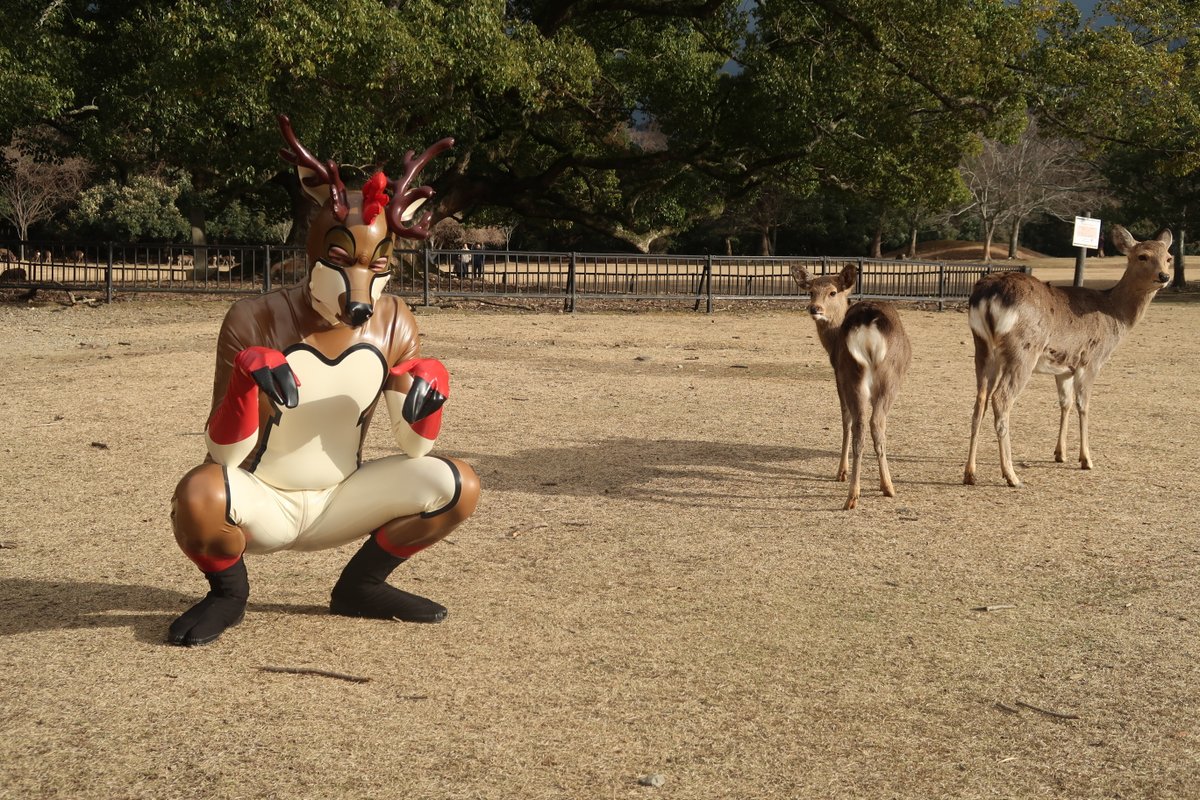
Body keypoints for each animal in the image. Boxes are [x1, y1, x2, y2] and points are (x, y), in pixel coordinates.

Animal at [791, 263, 913, 510]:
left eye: (832, 292)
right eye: (811, 291)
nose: (814, 308)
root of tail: (867, 326)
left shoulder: (838, 374)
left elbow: (844, 419)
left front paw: (841, 473)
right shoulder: (839, 375)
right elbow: (846, 420)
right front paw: (841, 472)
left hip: (854, 373)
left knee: (862, 424)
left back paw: (860, 492)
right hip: (882, 377)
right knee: (870, 423)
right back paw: (878, 488)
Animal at [963, 224, 1173, 487]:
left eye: (1168, 257)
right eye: (1142, 256)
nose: (1164, 276)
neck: (1115, 317)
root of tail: (990, 295)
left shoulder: (1063, 368)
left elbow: (1066, 403)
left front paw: (1060, 454)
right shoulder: (1091, 361)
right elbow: (1084, 405)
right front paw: (1086, 460)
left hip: (981, 347)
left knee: (979, 400)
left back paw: (970, 473)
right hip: (1023, 351)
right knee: (1001, 399)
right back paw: (1011, 475)